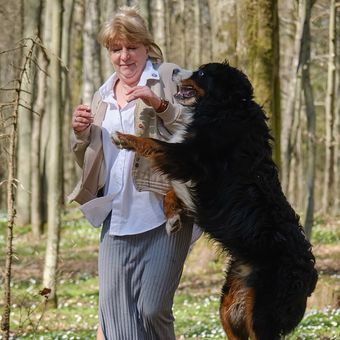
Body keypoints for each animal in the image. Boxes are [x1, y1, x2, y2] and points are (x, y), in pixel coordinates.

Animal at [112, 62, 318, 338]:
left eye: (201, 74)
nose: (174, 69)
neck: (224, 109)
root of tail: (309, 277)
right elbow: (171, 191)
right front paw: (173, 218)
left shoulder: (189, 158)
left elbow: (153, 143)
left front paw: (124, 138)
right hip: (230, 307)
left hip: (261, 314)